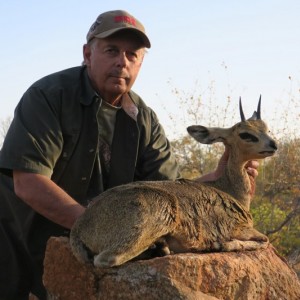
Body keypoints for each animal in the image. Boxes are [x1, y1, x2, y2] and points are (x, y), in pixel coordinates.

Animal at [69, 98, 276, 268]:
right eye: (245, 134)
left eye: (267, 128)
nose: (273, 145)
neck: (233, 192)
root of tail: (79, 228)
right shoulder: (241, 228)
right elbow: (265, 240)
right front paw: (221, 244)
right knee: (106, 259)